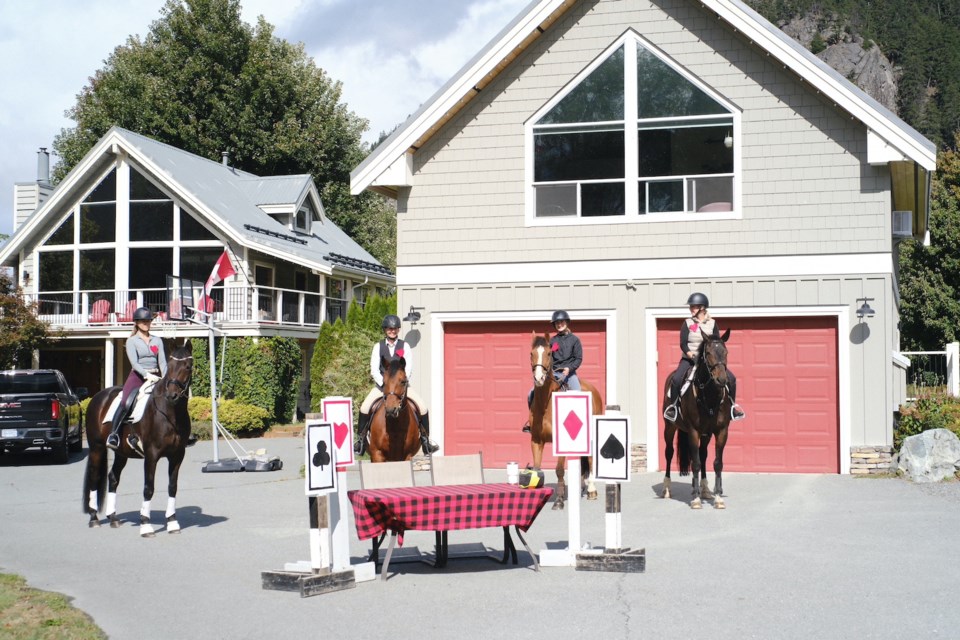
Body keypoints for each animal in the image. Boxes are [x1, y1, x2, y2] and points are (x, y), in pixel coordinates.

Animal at [82, 342, 195, 536]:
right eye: (170, 367)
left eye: (187, 367)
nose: (172, 395)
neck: (170, 413)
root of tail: (99, 396)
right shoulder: (151, 455)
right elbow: (148, 488)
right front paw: (145, 525)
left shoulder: (177, 456)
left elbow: (172, 487)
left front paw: (172, 522)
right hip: (96, 448)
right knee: (94, 477)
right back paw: (94, 518)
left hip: (121, 453)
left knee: (113, 477)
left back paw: (113, 518)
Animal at [528, 336, 604, 510]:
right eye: (531, 353)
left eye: (549, 353)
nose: (539, 378)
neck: (546, 404)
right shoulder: (536, 441)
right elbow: (536, 470)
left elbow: (559, 470)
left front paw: (559, 501)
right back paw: (582, 487)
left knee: (590, 460)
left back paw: (591, 490)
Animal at [660, 330, 736, 510]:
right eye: (707, 353)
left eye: (726, 352)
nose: (722, 380)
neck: (709, 396)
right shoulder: (693, 432)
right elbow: (695, 463)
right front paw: (695, 499)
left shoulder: (721, 431)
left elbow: (717, 463)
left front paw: (718, 498)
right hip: (669, 427)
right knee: (669, 453)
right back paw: (667, 489)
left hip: (705, 434)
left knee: (703, 455)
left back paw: (705, 489)